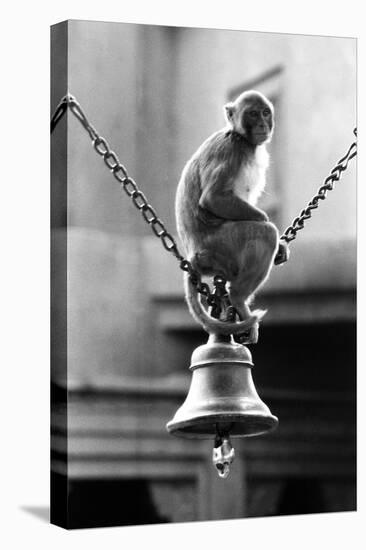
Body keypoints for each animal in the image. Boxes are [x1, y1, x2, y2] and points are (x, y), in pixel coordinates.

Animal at [174, 88, 288, 342]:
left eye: (265, 113)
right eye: (253, 114)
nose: (262, 124)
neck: (243, 140)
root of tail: (194, 254)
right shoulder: (230, 149)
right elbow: (213, 198)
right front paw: (271, 228)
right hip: (222, 243)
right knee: (264, 234)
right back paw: (238, 298)